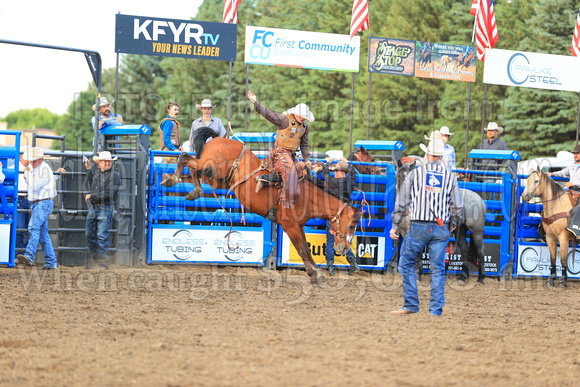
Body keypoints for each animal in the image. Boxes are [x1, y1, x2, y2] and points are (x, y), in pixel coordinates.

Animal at [161, 129, 360, 284]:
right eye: (352, 225)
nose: (344, 249)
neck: (306, 196)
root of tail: (218, 139)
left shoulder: (298, 225)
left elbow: (306, 248)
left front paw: (316, 272)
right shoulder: (290, 225)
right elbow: (302, 249)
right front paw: (315, 275)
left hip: (217, 178)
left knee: (194, 168)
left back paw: (192, 190)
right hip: (211, 167)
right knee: (186, 158)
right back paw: (173, 179)